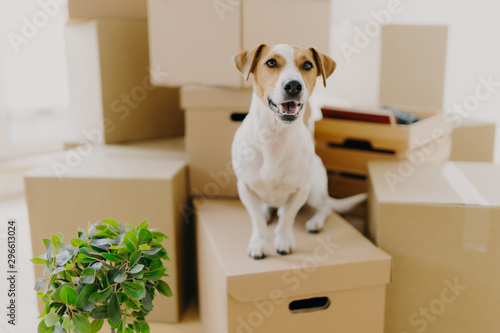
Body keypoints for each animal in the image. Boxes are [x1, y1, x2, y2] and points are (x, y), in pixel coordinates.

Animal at [231, 42, 368, 258]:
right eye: (271, 62)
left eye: (307, 65)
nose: (294, 85)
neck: (274, 136)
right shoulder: (245, 188)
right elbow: (257, 221)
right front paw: (259, 242)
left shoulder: (301, 190)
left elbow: (287, 217)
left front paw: (284, 240)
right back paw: (268, 211)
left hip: (315, 191)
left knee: (326, 207)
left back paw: (315, 221)